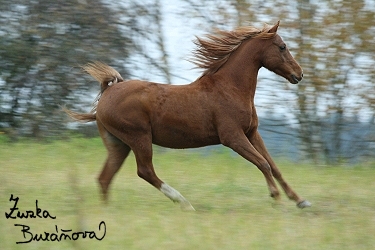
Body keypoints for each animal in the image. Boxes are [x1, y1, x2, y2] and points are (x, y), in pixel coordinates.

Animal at [67, 21, 312, 209]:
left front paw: (300, 201)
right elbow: (263, 164)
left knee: (104, 178)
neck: (230, 88)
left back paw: (108, 211)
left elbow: (274, 166)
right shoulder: (232, 137)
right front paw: (276, 198)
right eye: (282, 46)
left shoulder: (252, 133)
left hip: (118, 144)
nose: (299, 74)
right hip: (138, 138)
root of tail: (107, 93)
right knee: (145, 171)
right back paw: (184, 203)